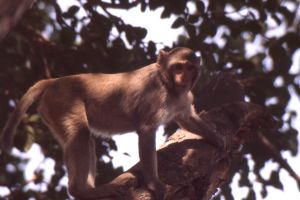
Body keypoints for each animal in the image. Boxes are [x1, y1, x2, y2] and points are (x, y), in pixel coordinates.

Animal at [0, 47, 223, 199]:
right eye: (177, 67)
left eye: (189, 68)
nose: (182, 76)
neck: (168, 85)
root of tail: (55, 81)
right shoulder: (156, 95)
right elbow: (146, 130)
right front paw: (153, 183)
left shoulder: (182, 100)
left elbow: (187, 120)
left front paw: (218, 140)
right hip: (63, 101)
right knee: (81, 135)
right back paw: (82, 191)